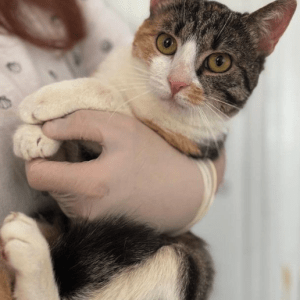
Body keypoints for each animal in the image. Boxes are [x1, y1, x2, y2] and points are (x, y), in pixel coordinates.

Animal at [0, 0, 296, 298]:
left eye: (219, 62)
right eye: (166, 43)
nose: (177, 82)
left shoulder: (189, 143)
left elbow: (116, 102)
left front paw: (45, 102)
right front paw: (36, 135)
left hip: (183, 259)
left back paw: (30, 254)